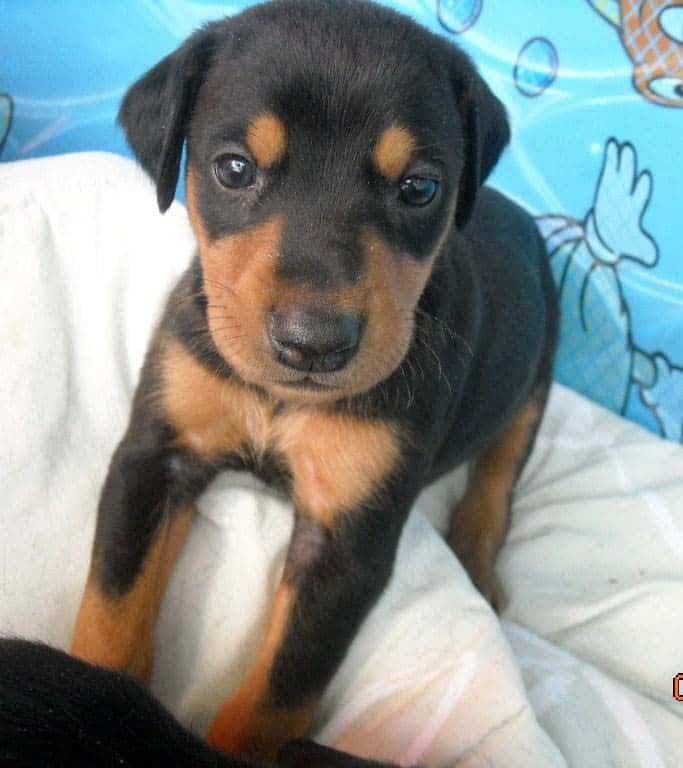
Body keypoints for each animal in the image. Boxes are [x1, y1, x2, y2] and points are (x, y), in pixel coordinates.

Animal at [71, 0, 556, 756]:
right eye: (233, 168)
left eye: (419, 187)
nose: (313, 344)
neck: (278, 399)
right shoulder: (155, 456)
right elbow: (112, 607)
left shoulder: (346, 547)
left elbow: (276, 694)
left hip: (538, 369)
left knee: (500, 473)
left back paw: (478, 562)